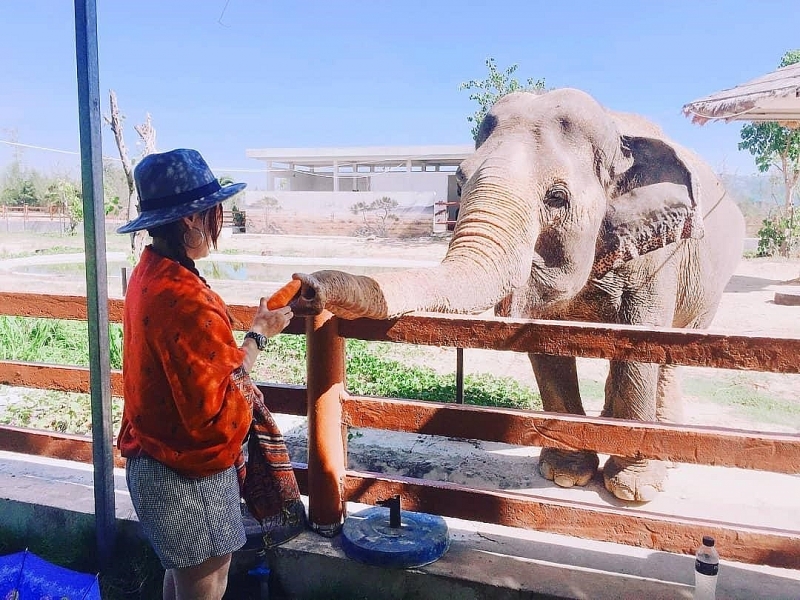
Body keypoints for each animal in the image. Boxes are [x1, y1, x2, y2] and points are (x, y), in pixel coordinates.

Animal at [290, 88, 748, 502]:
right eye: (460, 180)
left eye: (557, 198)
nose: (306, 286)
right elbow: (543, 341)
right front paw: (566, 475)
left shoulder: (658, 256)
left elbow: (641, 344)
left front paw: (632, 491)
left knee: (673, 353)